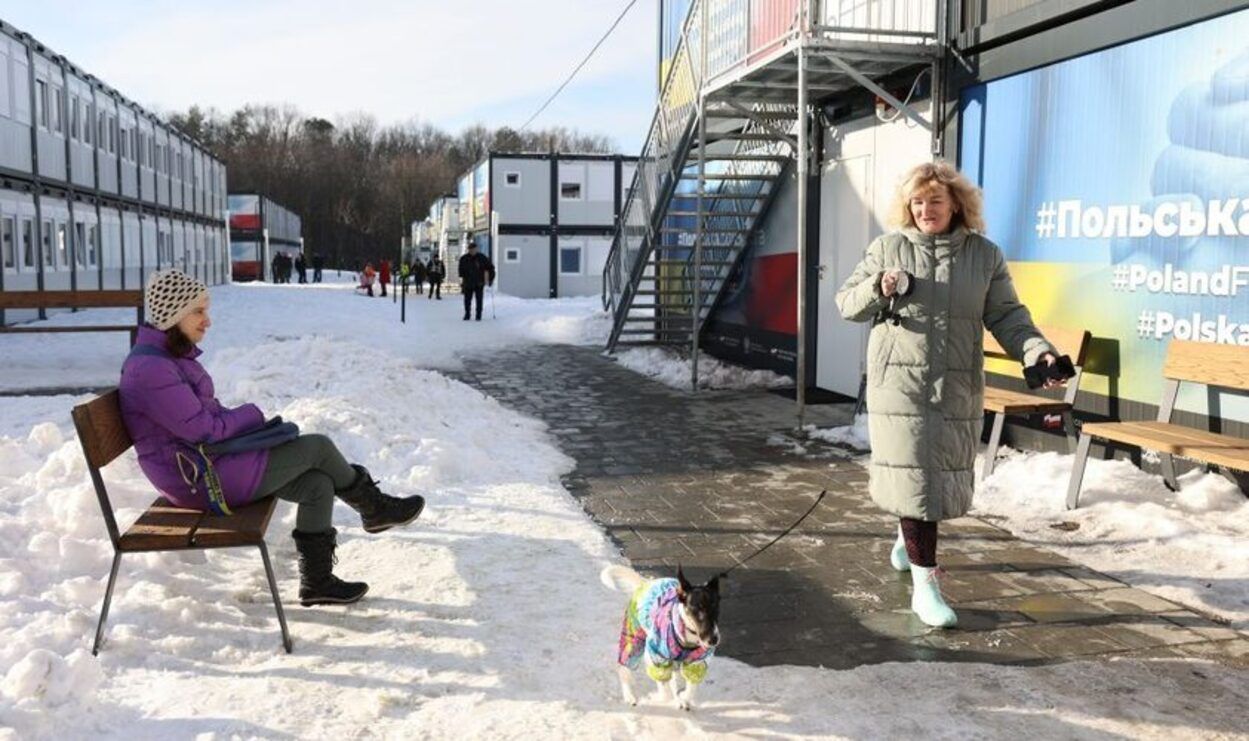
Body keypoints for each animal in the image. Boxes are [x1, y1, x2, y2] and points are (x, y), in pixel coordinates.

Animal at [602, 562, 724, 709]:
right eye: (696, 610)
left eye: (716, 609)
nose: (713, 640)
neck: (688, 638)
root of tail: (646, 582)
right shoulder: (656, 656)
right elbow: (664, 688)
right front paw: (658, 697)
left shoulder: (698, 661)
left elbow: (691, 685)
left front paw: (684, 698)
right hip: (633, 635)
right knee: (625, 668)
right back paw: (629, 696)